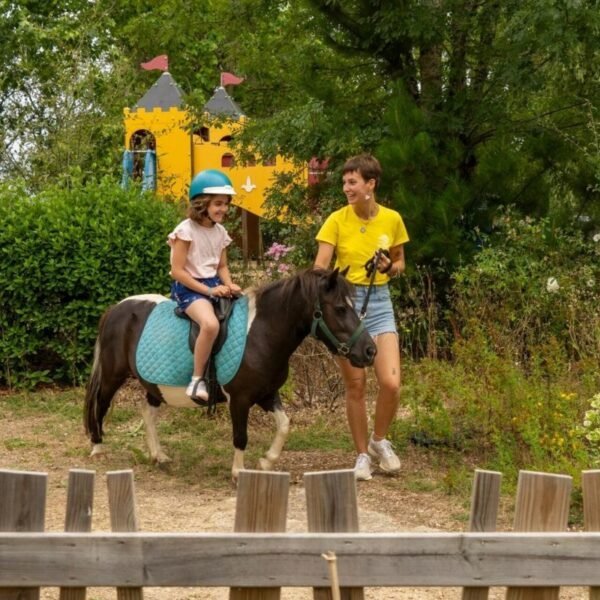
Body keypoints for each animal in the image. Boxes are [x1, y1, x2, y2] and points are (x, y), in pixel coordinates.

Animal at [83, 268, 376, 478]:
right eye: (340, 308)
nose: (370, 350)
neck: (261, 333)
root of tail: (116, 309)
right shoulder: (240, 399)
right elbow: (240, 436)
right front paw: (238, 472)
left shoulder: (267, 394)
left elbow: (284, 425)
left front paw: (266, 461)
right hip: (112, 377)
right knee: (100, 404)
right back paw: (97, 447)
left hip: (154, 384)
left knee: (148, 412)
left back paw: (158, 455)